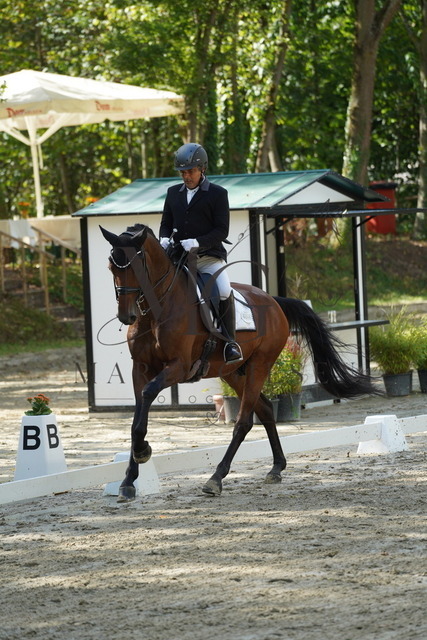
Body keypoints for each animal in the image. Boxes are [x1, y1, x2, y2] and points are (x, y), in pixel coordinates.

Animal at [101, 223, 380, 502]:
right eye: (111, 266)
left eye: (137, 266)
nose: (127, 316)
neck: (157, 309)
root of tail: (273, 301)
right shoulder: (141, 368)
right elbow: (137, 418)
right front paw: (128, 480)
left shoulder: (179, 367)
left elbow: (147, 396)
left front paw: (142, 452)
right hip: (233, 372)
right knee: (265, 409)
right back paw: (276, 467)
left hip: (259, 365)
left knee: (244, 422)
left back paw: (216, 478)